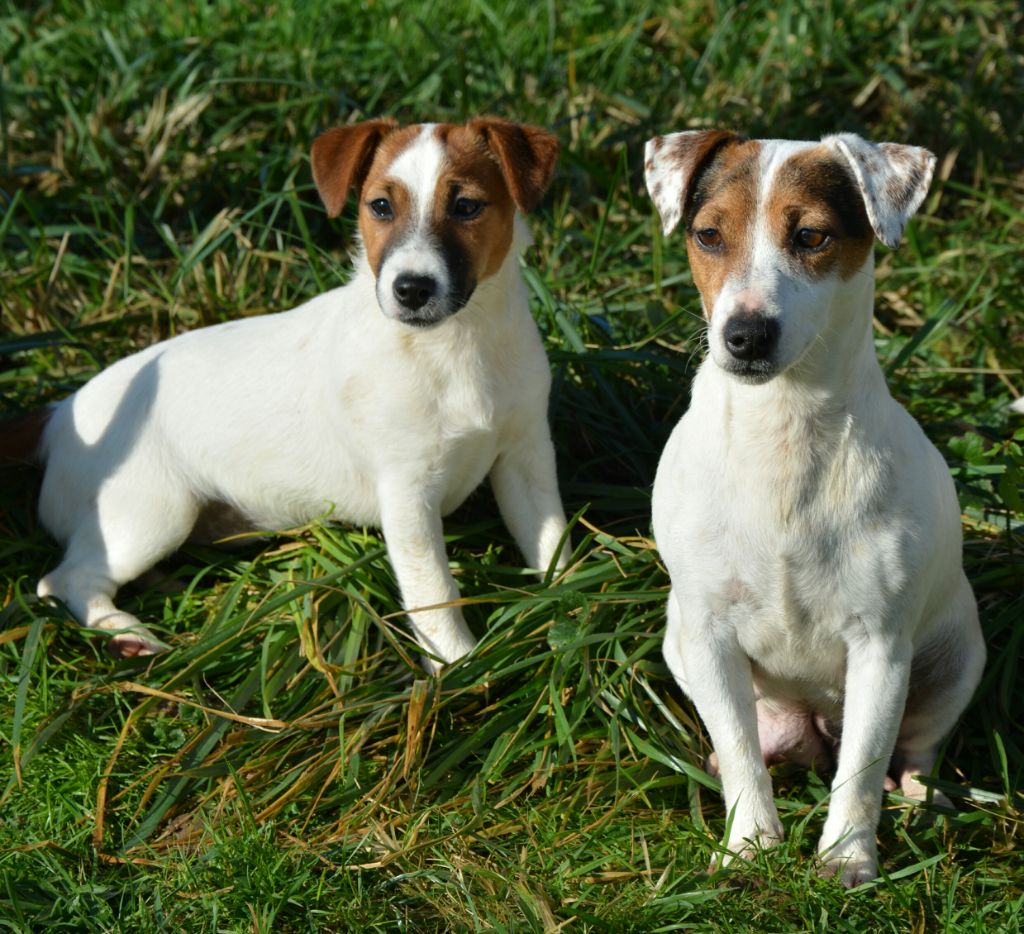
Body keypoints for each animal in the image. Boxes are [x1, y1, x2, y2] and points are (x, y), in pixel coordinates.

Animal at [6, 116, 569, 667]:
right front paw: (460, 667)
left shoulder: (526, 459)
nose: (411, 289)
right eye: (380, 207)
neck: (455, 346)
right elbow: (433, 591)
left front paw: (571, 602)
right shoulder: (408, 492)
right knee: (63, 579)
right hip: (149, 512)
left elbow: (551, 541)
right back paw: (126, 634)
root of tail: (60, 414)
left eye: (466, 206)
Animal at [643, 129, 987, 884]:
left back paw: (919, 798)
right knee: (756, 744)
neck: (784, 430)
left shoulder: (880, 649)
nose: (744, 335)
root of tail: (814, 727)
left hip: (955, 662)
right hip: (679, 643)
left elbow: (859, 771)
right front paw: (747, 844)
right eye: (708, 235)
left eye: (811, 236)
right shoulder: (708, 636)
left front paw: (846, 858)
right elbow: (742, 753)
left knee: (911, 749)